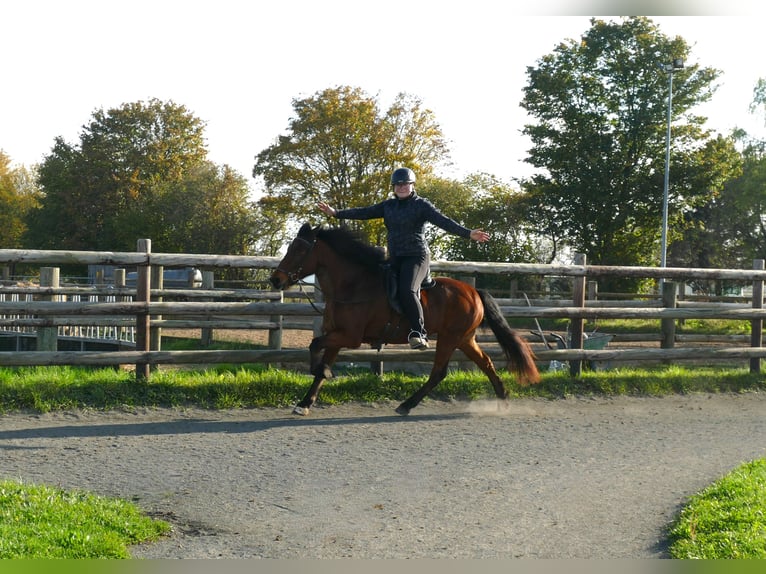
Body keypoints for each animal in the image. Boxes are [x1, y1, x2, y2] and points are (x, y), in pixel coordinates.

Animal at [270, 223, 540, 416]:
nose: (275, 279)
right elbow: (318, 362)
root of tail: (473, 291)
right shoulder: (336, 336)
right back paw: (502, 400)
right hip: (464, 339)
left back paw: (406, 405)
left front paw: (321, 372)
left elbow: (314, 346)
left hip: (450, 338)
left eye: (300, 250)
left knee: (439, 372)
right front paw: (305, 402)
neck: (353, 285)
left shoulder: (349, 337)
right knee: (486, 363)